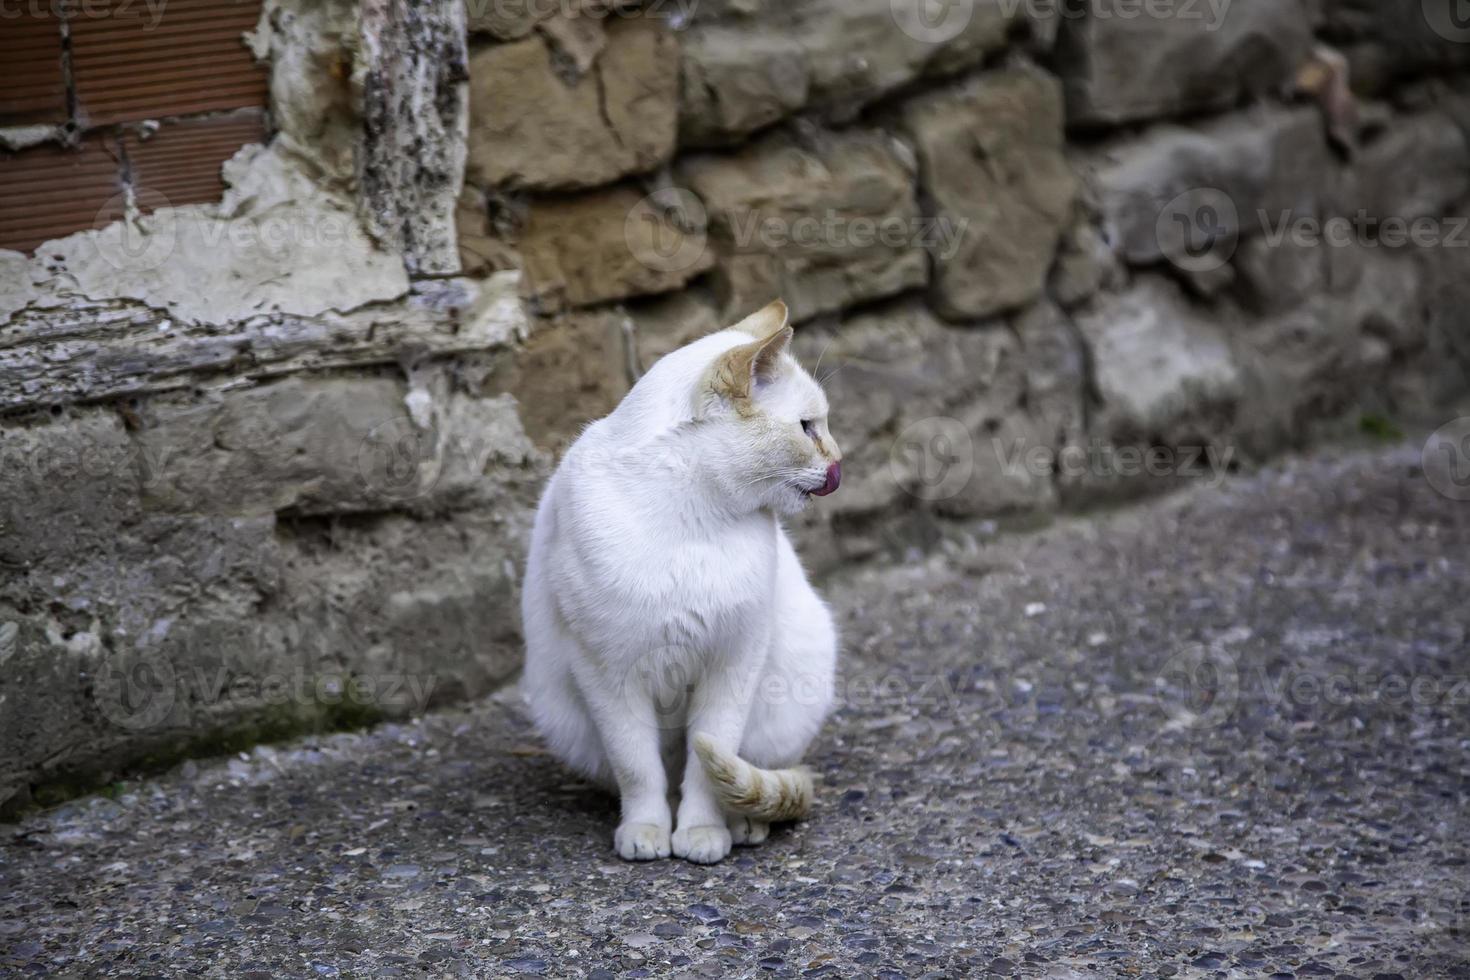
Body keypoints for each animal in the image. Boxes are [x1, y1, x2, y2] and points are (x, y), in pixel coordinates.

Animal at [520, 301, 840, 863]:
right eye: (807, 428)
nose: (839, 462)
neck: (693, 512)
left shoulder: (732, 663)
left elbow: (709, 765)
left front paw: (702, 832)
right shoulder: (608, 672)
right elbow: (638, 769)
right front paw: (646, 831)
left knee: (752, 775)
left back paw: (742, 824)